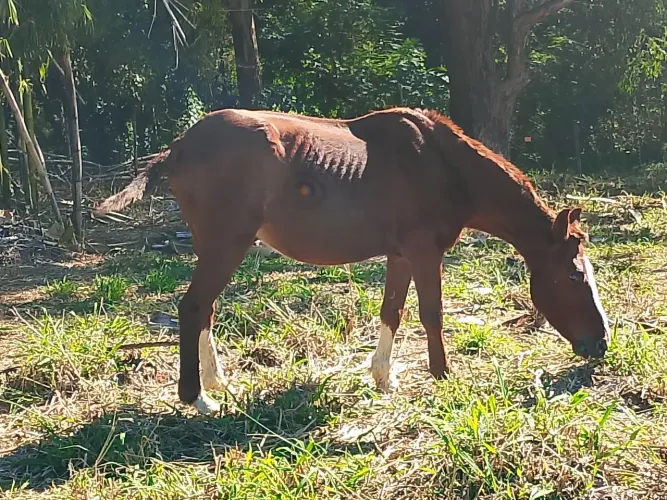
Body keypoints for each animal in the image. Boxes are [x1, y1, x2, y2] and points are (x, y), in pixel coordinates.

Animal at [94, 106, 610, 415]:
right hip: (226, 245)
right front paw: (443, 376)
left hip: (214, 246)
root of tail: (180, 146)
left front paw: (383, 378)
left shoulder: (401, 255)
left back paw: (216, 382)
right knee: (194, 307)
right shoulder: (424, 252)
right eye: (572, 276)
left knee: (205, 311)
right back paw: (198, 398)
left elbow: (392, 312)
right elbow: (432, 313)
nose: (601, 344)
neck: (441, 164)